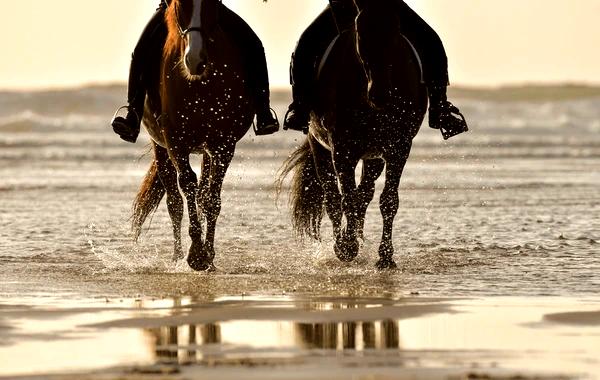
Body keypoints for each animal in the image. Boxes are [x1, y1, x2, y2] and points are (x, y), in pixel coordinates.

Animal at [131, 0, 253, 270]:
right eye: (181, 4)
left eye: (212, 4)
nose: (195, 59)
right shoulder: (175, 141)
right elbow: (187, 185)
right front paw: (196, 253)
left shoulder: (223, 144)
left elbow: (210, 199)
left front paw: (207, 255)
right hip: (161, 147)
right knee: (174, 202)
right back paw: (177, 256)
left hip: (207, 150)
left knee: (201, 194)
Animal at [280, 2, 426, 270]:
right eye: (360, 33)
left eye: (396, 30)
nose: (379, 93)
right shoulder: (341, 148)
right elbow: (345, 199)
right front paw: (346, 247)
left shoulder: (398, 148)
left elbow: (388, 200)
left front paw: (385, 257)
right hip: (320, 148)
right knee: (332, 197)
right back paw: (344, 242)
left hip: (374, 157)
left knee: (364, 193)